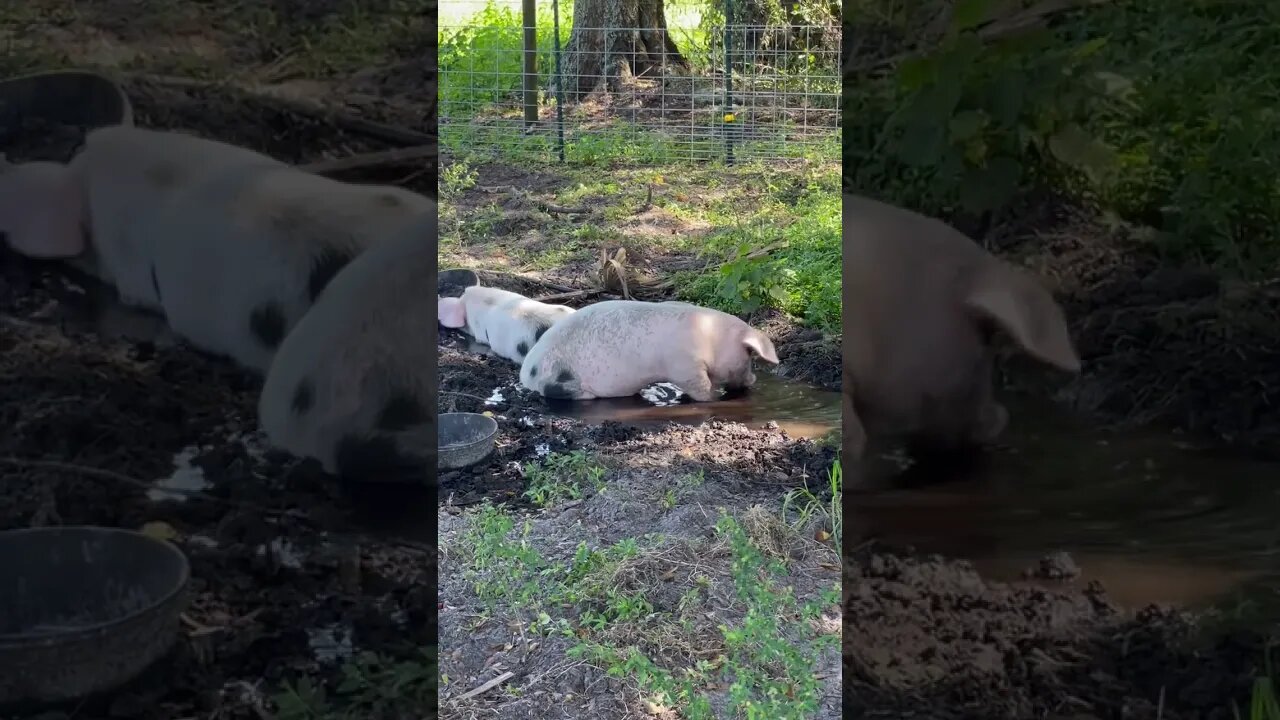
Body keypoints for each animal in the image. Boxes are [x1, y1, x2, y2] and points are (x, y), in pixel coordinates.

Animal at [514, 295, 773, 397]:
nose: (754, 380)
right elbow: (701, 388)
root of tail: (526, 372)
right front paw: (714, 397)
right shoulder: (685, 367)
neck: (709, 337)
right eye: (749, 356)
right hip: (559, 379)